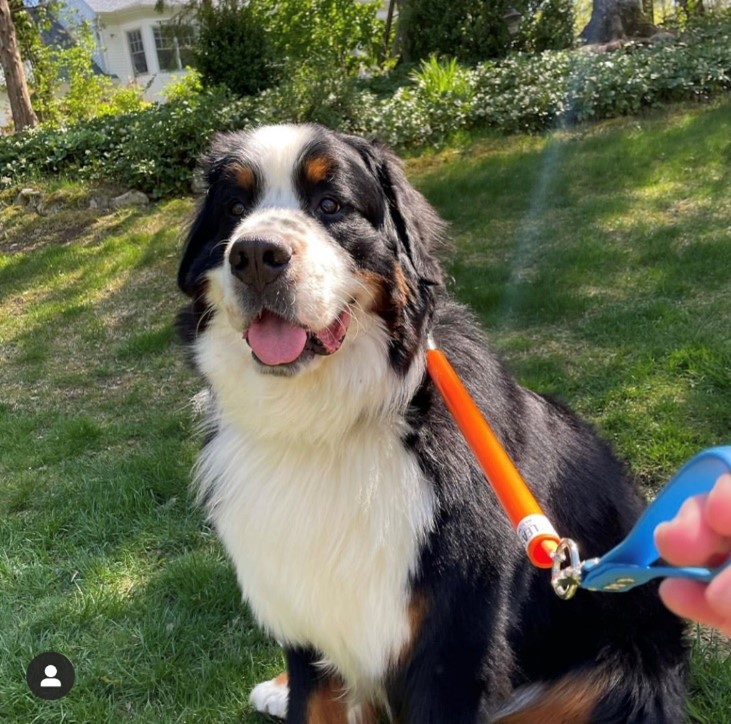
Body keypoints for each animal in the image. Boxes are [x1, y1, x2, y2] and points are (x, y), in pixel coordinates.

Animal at [176, 121, 688, 720]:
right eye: (234, 209)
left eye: (331, 204)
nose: (255, 254)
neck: (320, 426)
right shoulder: (306, 623)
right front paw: (289, 692)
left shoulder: (451, 647)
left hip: (617, 679)